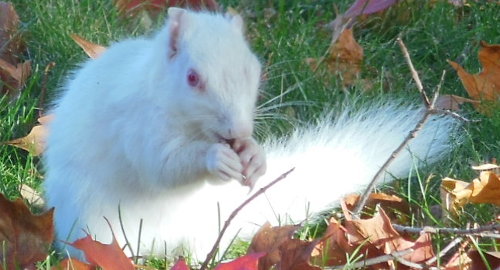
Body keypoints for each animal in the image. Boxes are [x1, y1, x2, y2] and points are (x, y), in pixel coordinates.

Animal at [45, 7, 458, 260]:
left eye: (252, 68)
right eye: (192, 78)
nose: (240, 130)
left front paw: (255, 157)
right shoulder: (136, 126)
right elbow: (161, 165)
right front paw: (214, 158)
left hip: (207, 225)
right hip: (95, 229)